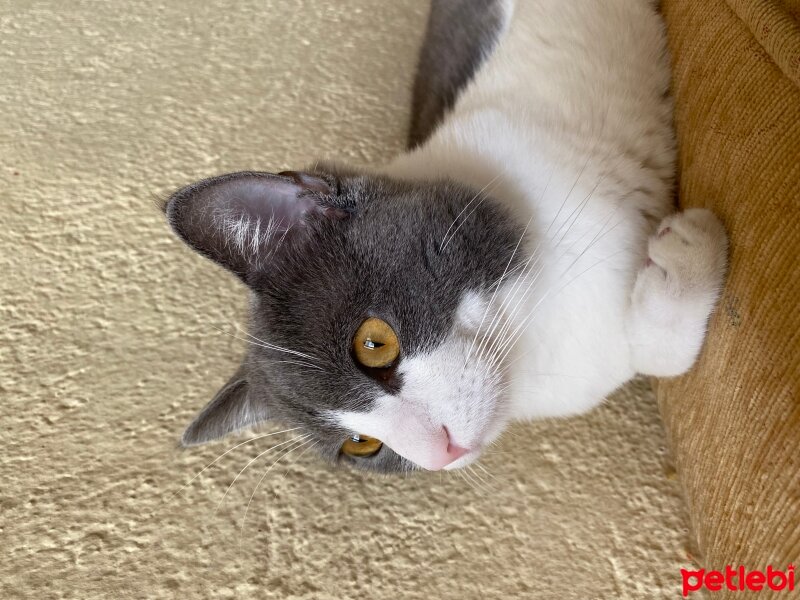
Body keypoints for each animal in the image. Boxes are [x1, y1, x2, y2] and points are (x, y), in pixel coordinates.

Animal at [166, 0, 728, 474]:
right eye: (361, 445)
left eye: (374, 344)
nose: (441, 453)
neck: (530, 344)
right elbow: (657, 358)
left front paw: (689, 249)